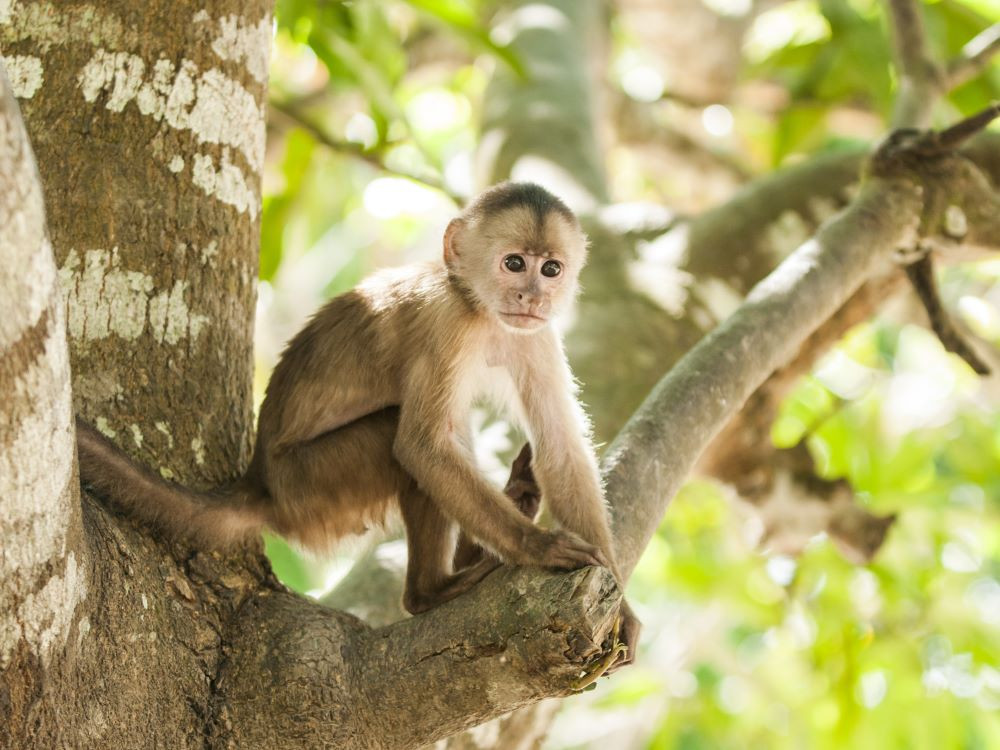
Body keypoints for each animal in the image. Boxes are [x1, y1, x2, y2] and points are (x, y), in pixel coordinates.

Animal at [77, 181, 640, 667]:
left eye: (551, 269)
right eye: (515, 263)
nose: (533, 296)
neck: (478, 307)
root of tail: (260, 482)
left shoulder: (537, 334)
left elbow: (561, 448)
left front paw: (620, 603)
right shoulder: (445, 324)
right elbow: (421, 447)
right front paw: (538, 548)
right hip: (314, 485)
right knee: (399, 437)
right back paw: (432, 589)